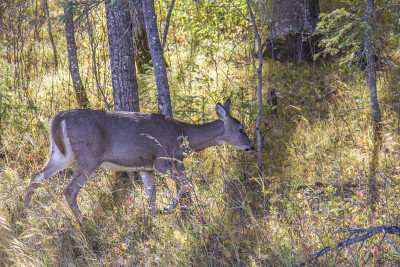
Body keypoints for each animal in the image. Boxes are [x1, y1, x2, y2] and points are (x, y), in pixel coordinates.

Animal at [25, 99, 255, 219]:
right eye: (241, 129)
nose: (251, 146)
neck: (185, 137)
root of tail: (59, 117)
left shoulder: (146, 167)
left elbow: (151, 195)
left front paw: (154, 216)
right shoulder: (163, 161)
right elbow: (188, 183)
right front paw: (167, 208)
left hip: (61, 155)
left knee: (36, 176)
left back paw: (23, 213)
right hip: (89, 158)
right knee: (68, 190)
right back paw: (82, 221)